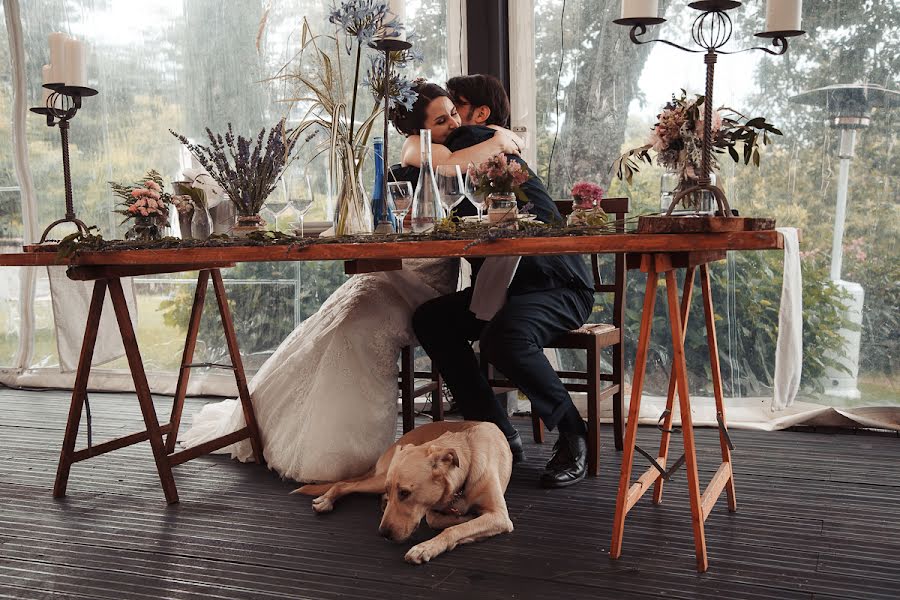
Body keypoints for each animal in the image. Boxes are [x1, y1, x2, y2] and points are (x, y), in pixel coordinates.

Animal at [296, 420, 512, 564]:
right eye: (398, 492)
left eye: (405, 493)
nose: (383, 534)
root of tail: (399, 441)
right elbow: (435, 519)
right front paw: (464, 519)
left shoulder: (500, 516)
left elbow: (453, 528)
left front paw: (427, 546)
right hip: (379, 479)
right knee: (344, 484)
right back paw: (325, 500)